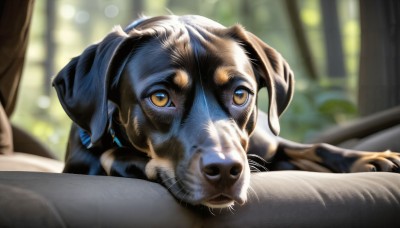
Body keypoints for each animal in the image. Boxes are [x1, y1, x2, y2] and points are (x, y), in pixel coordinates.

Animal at [53, 15, 400, 209]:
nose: (224, 171)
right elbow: (113, 156)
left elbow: (316, 147)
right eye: (161, 98)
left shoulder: (267, 146)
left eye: (240, 94)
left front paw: (371, 158)